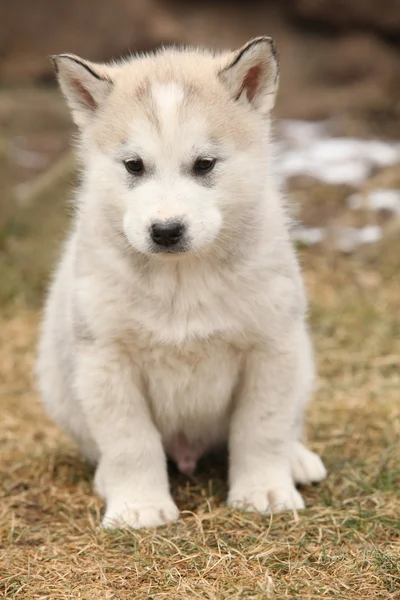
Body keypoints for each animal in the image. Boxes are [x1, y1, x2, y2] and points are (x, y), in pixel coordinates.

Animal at [36, 35, 326, 528]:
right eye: (134, 166)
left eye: (204, 164)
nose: (166, 231)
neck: (182, 278)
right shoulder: (106, 357)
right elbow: (130, 440)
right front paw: (138, 507)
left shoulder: (271, 346)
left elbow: (262, 428)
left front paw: (265, 490)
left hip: (302, 359)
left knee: (287, 425)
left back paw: (297, 459)